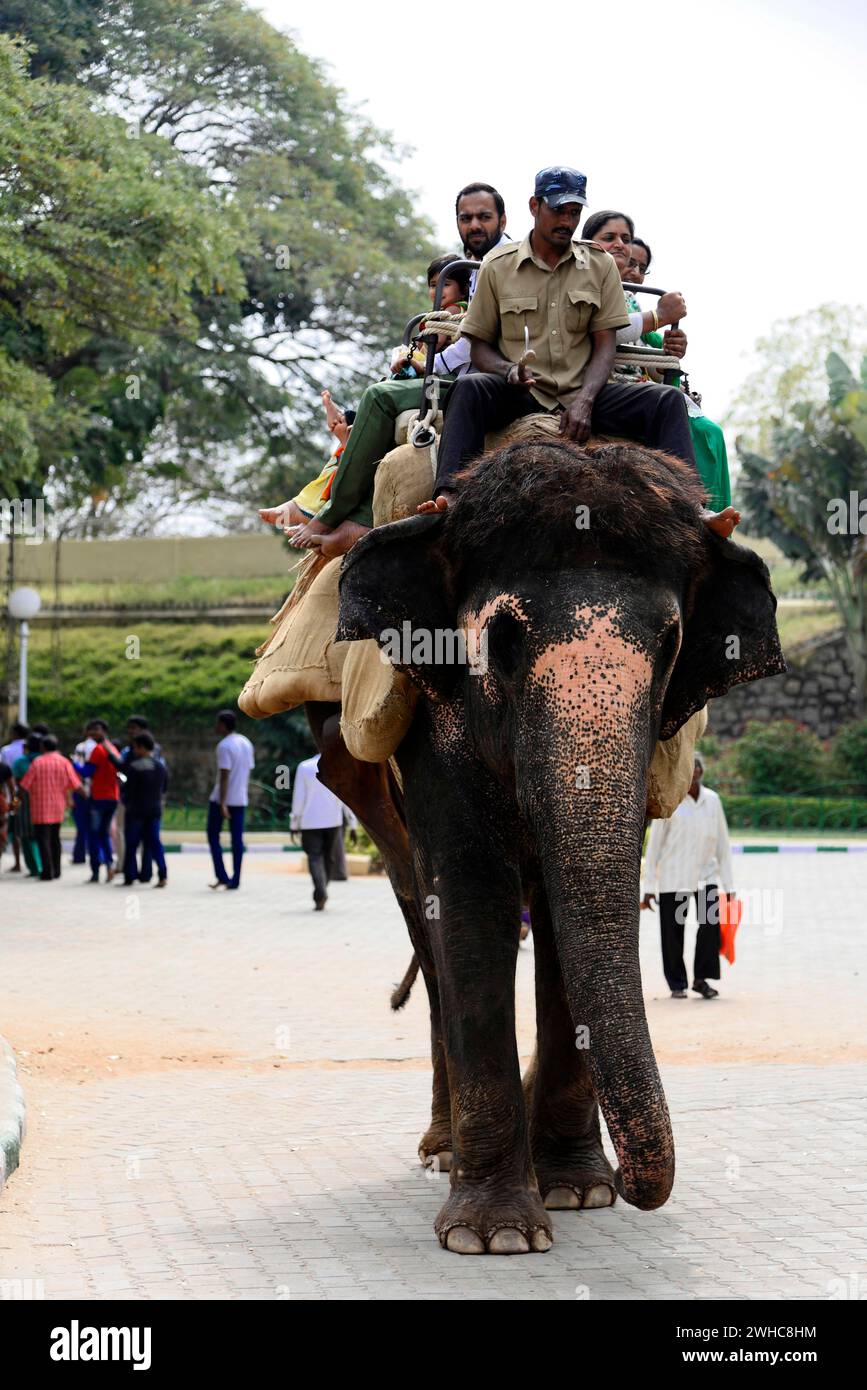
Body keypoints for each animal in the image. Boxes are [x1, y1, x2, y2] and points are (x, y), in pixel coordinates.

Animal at [312, 436, 783, 1262]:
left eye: (670, 644)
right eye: (499, 640)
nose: (631, 1181)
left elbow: (582, 910)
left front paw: (577, 1191)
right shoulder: (435, 726)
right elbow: (473, 898)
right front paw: (495, 1235)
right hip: (370, 789)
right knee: (423, 920)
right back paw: (442, 1150)